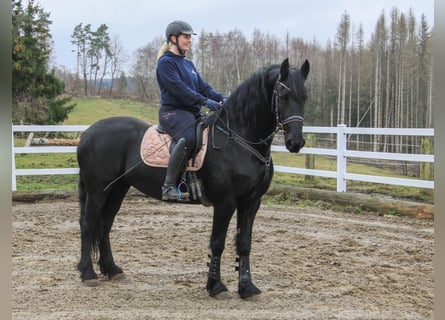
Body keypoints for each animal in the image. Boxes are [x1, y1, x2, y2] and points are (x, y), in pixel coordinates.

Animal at [76, 58, 308, 300]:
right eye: (283, 95)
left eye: (305, 97)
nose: (296, 142)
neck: (239, 139)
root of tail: (88, 133)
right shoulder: (225, 202)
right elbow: (217, 243)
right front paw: (216, 286)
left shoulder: (252, 202)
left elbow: (244, 244)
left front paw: (247, 288)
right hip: (97, 191)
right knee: (88, 224)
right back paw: (88, 273)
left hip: (117, 189)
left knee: (105, 225)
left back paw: (112, 270)